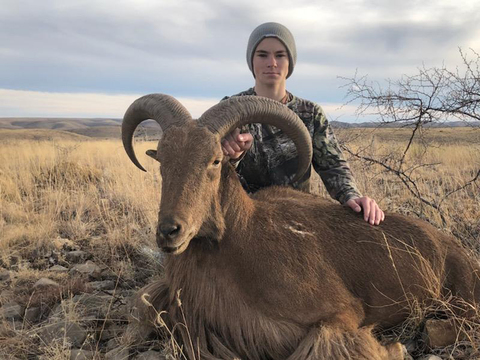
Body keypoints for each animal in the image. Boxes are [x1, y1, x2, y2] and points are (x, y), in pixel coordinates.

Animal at [123, 93, 480, 360]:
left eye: (214, 160)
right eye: (162, 160)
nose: (170, 231)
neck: (241, 238)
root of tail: (458, 250)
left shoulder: (340, 314)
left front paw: (394, 348)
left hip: (463, 297)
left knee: (441, 327)